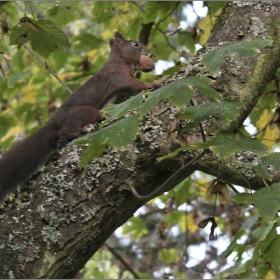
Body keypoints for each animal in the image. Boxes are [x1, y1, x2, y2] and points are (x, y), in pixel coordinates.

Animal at [0, 32, 162, 203]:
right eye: (135, 44)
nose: (148, 50)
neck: (120, 58)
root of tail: (53, 123)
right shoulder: (117, 74)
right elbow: (133, 84)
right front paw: (153, 84)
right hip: (86, 112)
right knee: (63, 132)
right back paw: (78, 132)